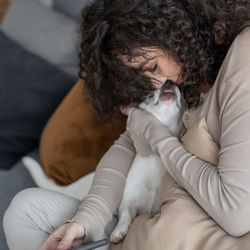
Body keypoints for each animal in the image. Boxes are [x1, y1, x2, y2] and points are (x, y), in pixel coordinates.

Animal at [110, 79, 183, 242]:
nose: (169, 81)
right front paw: (118, 230)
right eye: (149, 95)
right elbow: (125, 214)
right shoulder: (129, 201)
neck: (155, 159)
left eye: (184, 97)